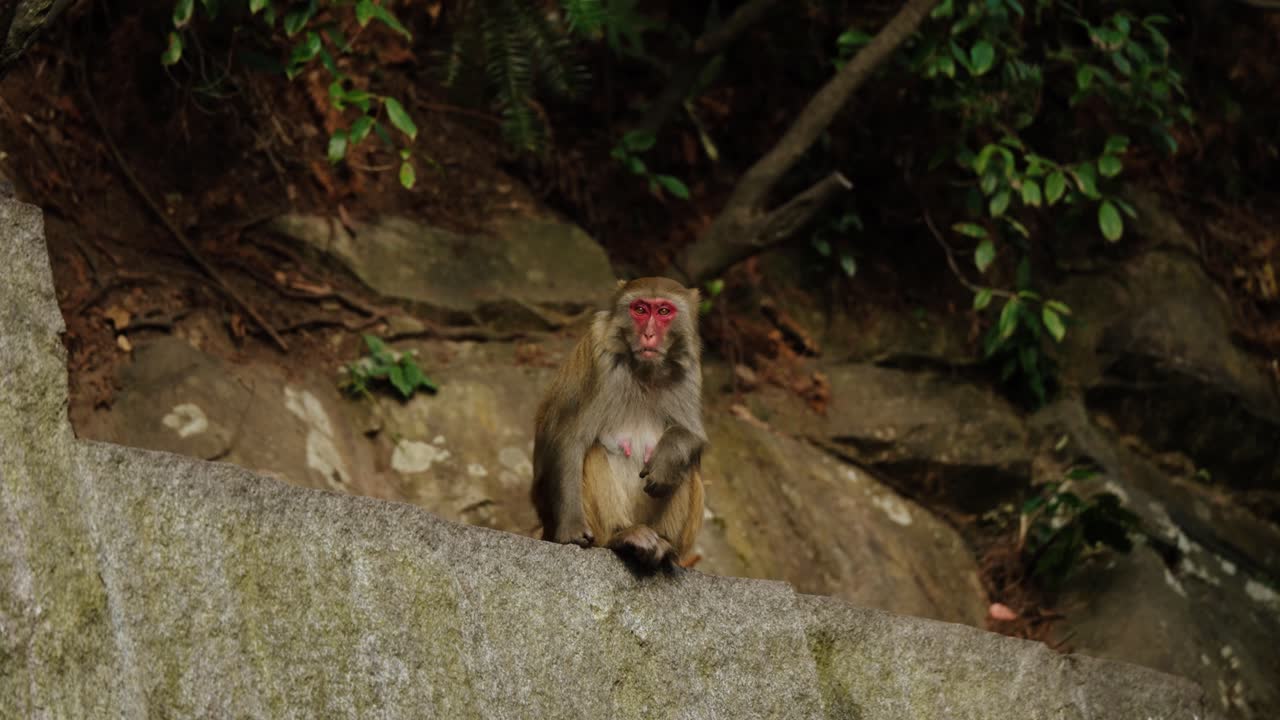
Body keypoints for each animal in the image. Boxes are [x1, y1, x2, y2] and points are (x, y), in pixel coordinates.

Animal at [531, 277, 706, 570]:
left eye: (664, 311)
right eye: (640, 309)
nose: (648, 335)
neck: (645, 371)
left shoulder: (690, 368)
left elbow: (693, 437)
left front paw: (667, 459)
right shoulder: (598, 357)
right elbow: (569, 438)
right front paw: (571, 531)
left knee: (686, 467)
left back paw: (664, 543)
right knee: (592, 451)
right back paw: (622, 536)